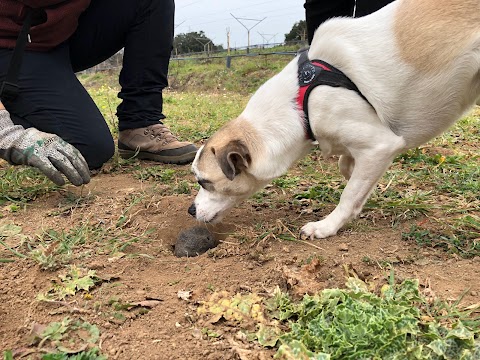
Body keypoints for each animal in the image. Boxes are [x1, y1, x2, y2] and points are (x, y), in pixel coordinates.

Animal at [188, 0, 480, 240]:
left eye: (204, 182)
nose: (191, 210)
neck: (299, 100)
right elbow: (346, 168)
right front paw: (361, 186)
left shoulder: (380, 146)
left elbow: (349, 194)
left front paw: (327, 225)